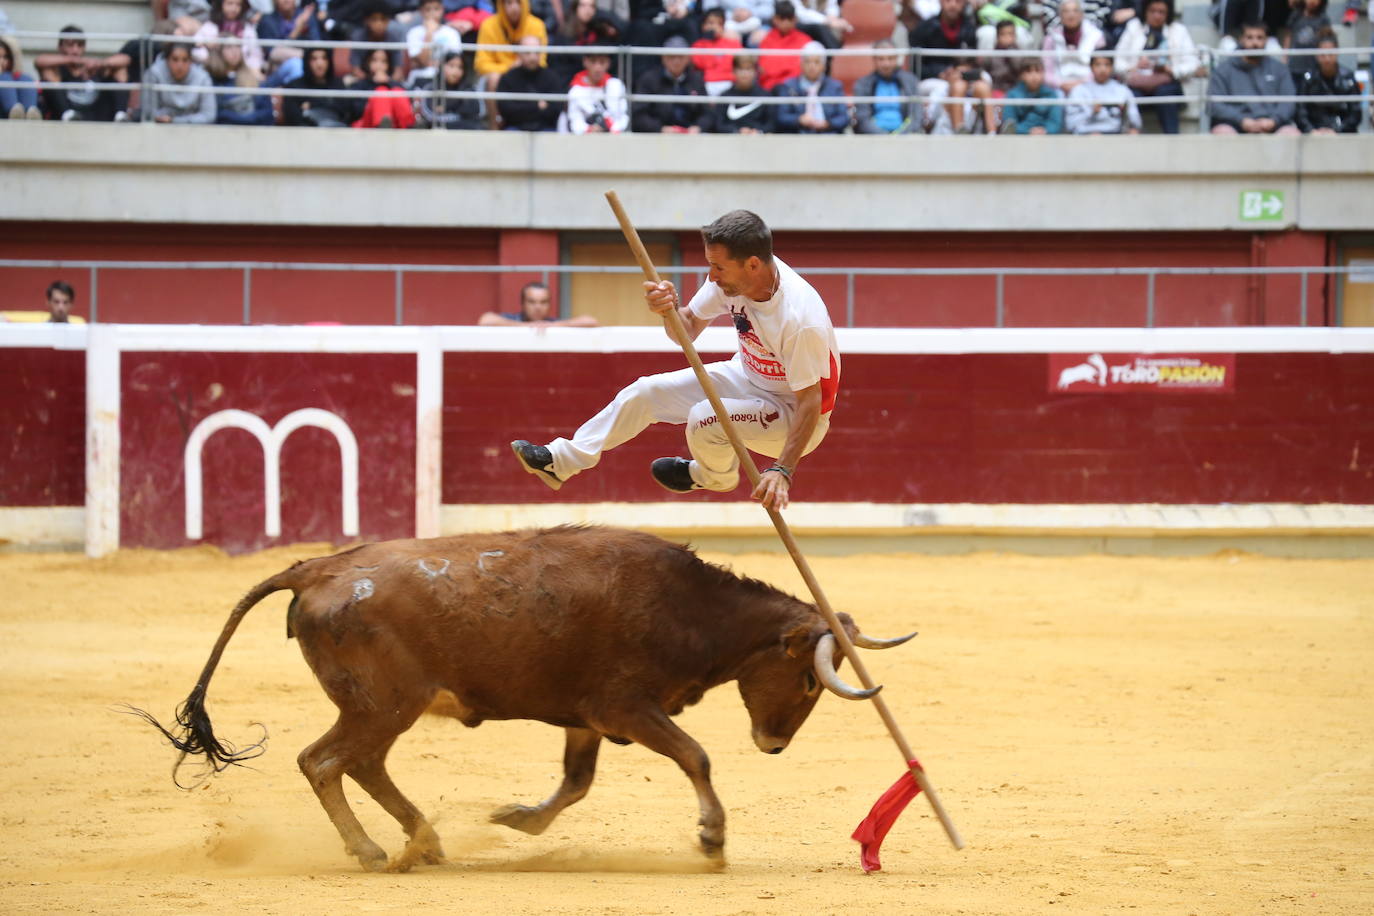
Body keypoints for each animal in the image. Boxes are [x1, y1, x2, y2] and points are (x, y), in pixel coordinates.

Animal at [133, 527, 912, 873]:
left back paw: (426, 840)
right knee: (325, 762)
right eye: (810, 678)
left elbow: (575, 784)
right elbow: (695, 756)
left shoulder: (588, 719)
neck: (688, 606)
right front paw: (712, 840)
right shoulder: (627, 707)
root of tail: (318, 567)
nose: (774, 743)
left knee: (358, 765)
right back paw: (377, 851)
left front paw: (516, 819)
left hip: (383, 710)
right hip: (382, 705)